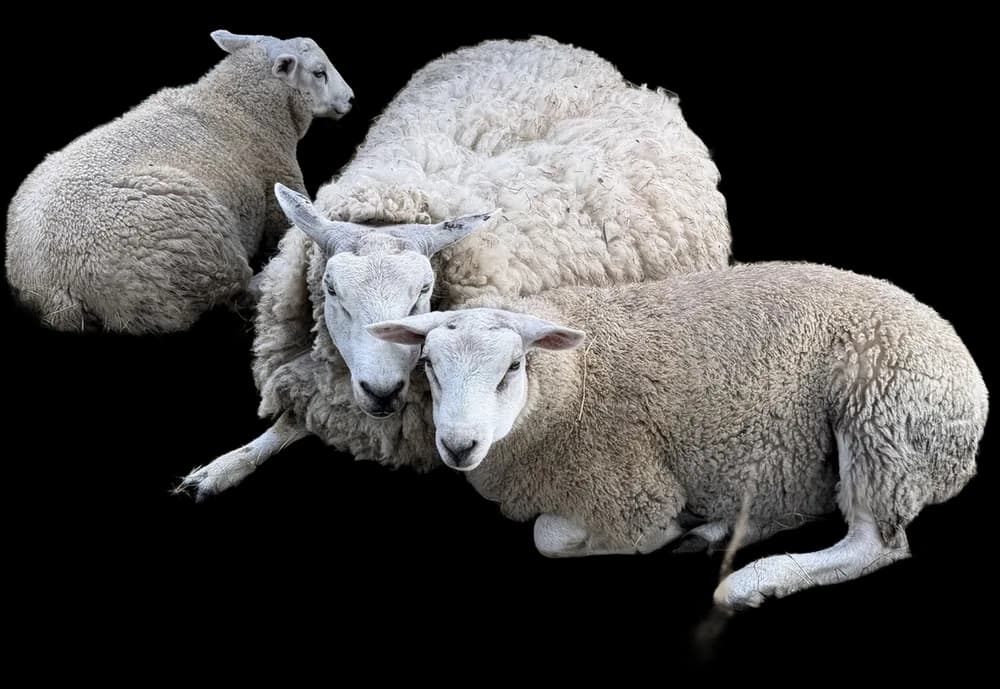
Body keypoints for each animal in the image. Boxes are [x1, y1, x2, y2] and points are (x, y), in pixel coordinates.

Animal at [5, 29, 353, 334]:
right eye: (319, 72)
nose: (350, 99)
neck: (238, 107)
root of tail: (58, 290)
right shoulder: (278, 186)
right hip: (197, 250)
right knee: (231, 292)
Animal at [175, 35, 731, 500]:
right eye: (331, 290)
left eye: (424, 290)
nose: (383, 390)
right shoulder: (328, 385)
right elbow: (286, 423)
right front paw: (221, 467)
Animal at [366, 262, 988, 610]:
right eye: (428, 365)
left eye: (513, 367)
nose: (459, 445)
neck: (572, 381)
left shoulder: (627, 488)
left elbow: (550, 537)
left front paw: (659, 535)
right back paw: (719, 531)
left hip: (882, 421)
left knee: (875, 543)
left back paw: (752, 581)